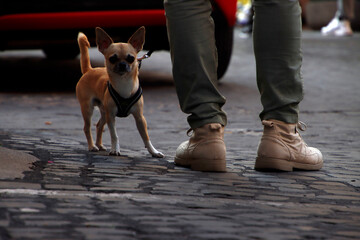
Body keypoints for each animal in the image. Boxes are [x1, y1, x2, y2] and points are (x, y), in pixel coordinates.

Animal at [77, 26, 165, 158]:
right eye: (112, 59)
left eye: (131, 58)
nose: (123, 64)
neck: (124, 84)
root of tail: (89, 70)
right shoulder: (111, 116)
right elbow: (114, 135)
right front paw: (115, 149)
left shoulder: (140, 117)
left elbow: (146, 136)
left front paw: (153, 151)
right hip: (88, 109)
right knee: (87, 128)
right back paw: (92, 146)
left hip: (104, 112)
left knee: (99, 125)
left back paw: (99, 145)